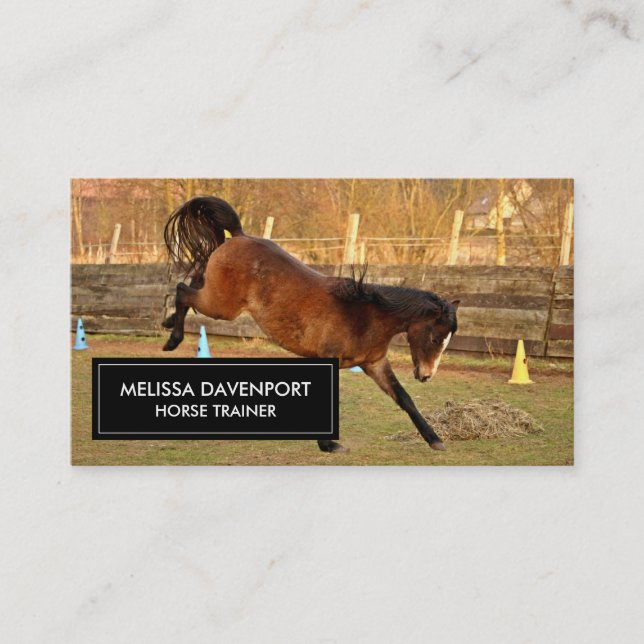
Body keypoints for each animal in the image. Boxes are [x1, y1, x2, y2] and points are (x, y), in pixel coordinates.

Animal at [161, 196, 459, 453]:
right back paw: (172, 340)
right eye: (435, 338)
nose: (426, 375)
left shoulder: (374, 364)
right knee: (182, 290)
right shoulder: (330, 359)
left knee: (193, 281)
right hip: (223, 306)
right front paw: (329, 445)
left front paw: (435, 439)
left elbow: (404, 398)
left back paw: (168, 322)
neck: (366, 316)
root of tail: (239, 235)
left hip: (217, 297)